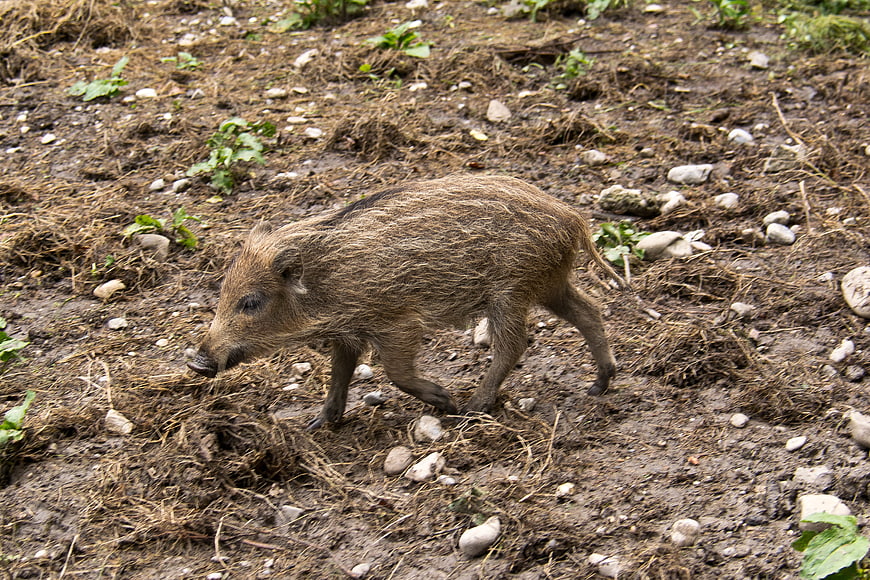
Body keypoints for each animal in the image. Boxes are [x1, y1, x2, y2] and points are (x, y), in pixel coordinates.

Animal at [188, 174, 621, 429]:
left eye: (251, 302)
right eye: (222, 293)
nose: (197, 361)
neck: (324, 283)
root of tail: (573, 218)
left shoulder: (397, 322)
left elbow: (395, 372)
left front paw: (444, 400)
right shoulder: (348, 333)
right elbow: (339, 375)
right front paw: (318, 424)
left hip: (510, 291)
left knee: (514, 346)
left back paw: (472, 407)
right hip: (547, 283)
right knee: (590, 310)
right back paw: (599, 385)